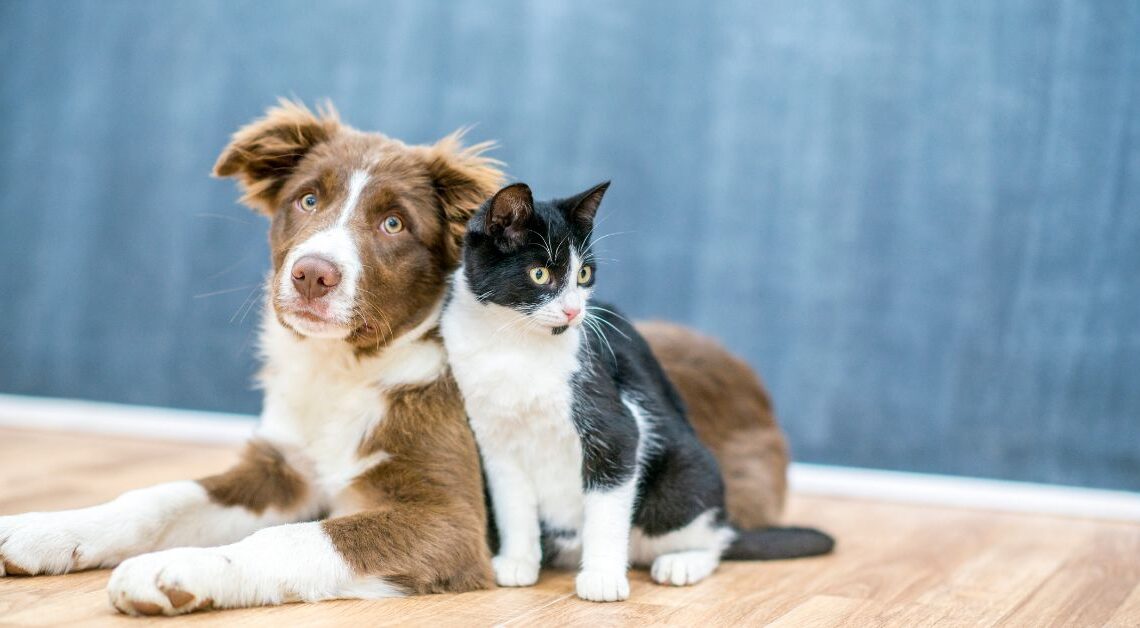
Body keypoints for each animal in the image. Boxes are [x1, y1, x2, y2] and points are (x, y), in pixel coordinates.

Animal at [0, 100, 788, 615]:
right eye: (307, 199)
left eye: (392, 224)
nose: (312, 275)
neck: (347, 372)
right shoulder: (282, 468)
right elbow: (157, 496)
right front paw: (46, 530)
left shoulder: (448, 518)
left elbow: (296, 541)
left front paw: (178, 568)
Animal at [437, 183, 829, 606]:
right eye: (539, 274)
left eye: (584, 273)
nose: (574, 311)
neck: (513, 345)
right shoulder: (494, 440)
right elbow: (512, 504)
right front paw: (517, 562)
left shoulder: (616, 426)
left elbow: (607, 507)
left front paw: (602, 579)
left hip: (682, 482)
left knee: (714, 538)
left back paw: (682, 562)